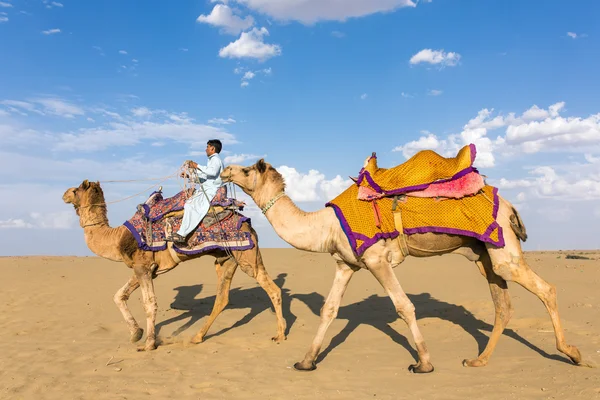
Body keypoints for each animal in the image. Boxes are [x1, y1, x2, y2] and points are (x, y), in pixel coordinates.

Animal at [62, 180, 288, 352]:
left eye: (75, 190)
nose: (63, 194)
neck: (117, 238)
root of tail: (248, 223)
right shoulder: (144, 269)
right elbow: (119, 295)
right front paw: (136, 333)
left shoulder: (143, 267)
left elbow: (149, 304)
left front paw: (149, 344)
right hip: (227, 259)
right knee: (222, 298)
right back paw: (197, 337)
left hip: (247, 257)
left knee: (272, 289)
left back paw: (280, 334)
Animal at [218, 159, 584, 372]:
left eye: (247, 170)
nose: (224, 169)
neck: (325, 226)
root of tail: (509, 206)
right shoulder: (345, 263)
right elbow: (329, 309)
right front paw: (306, 361)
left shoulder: (377, 259)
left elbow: (404, 306)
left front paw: (423, 363)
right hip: (485, 256)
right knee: (502, 304)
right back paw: (478, 360)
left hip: (503, 247)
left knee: (546, 289)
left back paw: (572, 353)